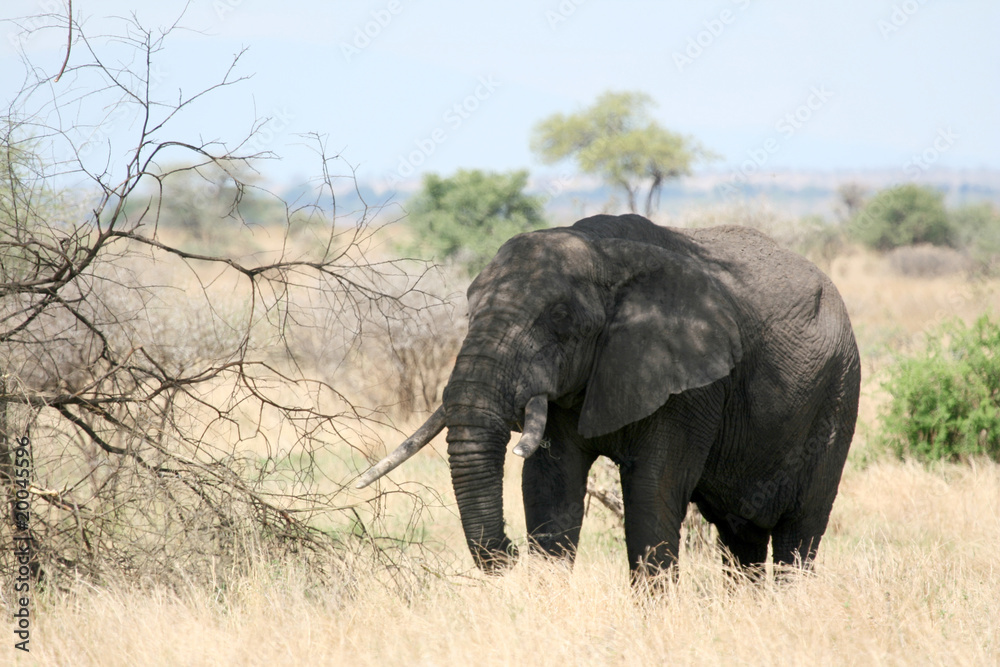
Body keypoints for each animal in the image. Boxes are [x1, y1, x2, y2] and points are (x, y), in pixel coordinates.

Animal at [358, 214, 860, 584]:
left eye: (560, 317)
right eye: (468, 309)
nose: (510, 553)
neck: (602, 253)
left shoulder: (691, 383)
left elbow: (653, 491)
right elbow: (550, 487)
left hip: (838, 394)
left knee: (799, 533)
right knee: (742, 538)